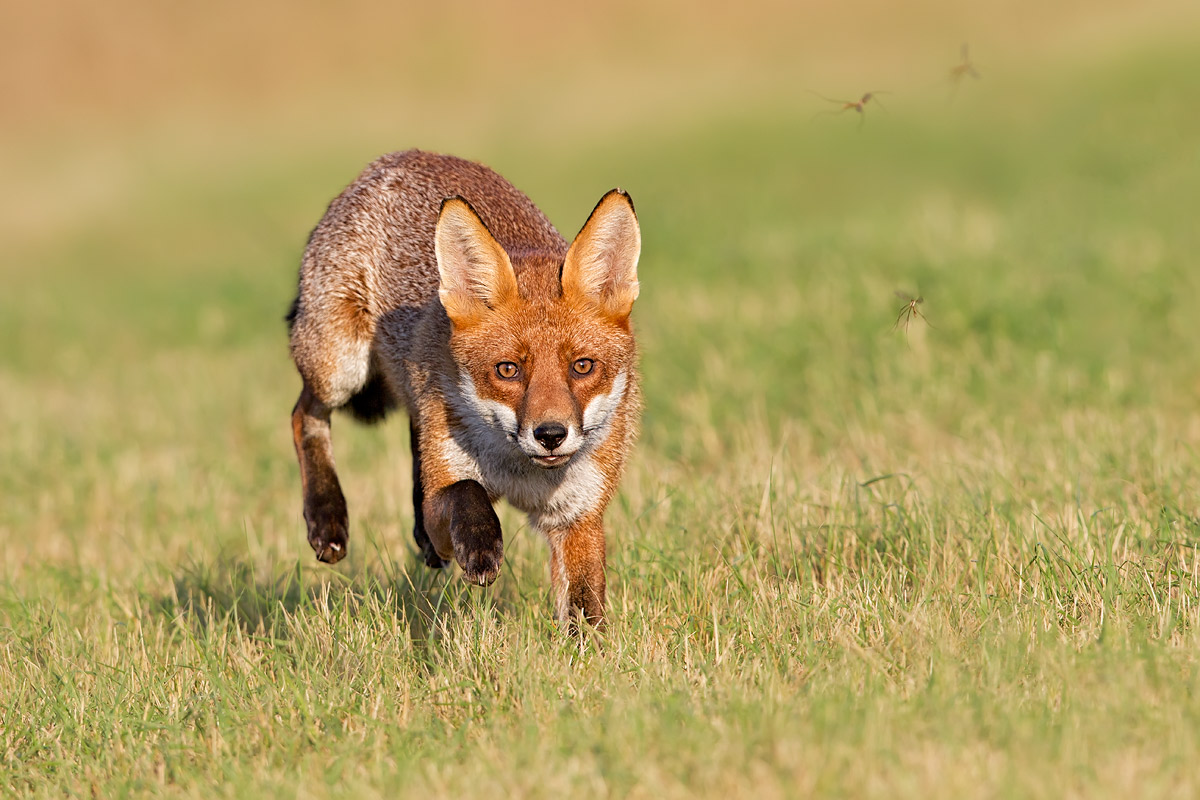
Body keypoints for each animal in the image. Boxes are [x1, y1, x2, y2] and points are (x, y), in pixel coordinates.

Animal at [286, 150, 641, 626]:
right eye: (507, 370)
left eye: (582, 367)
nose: (550, 435)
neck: (519, 475)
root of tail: (401, 156)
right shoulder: (450, 494)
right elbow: (464, 491)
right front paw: (481, 542)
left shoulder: (579, 519)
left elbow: (585, 616)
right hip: (339, 369)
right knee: (303, 414)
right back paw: (326, 518)